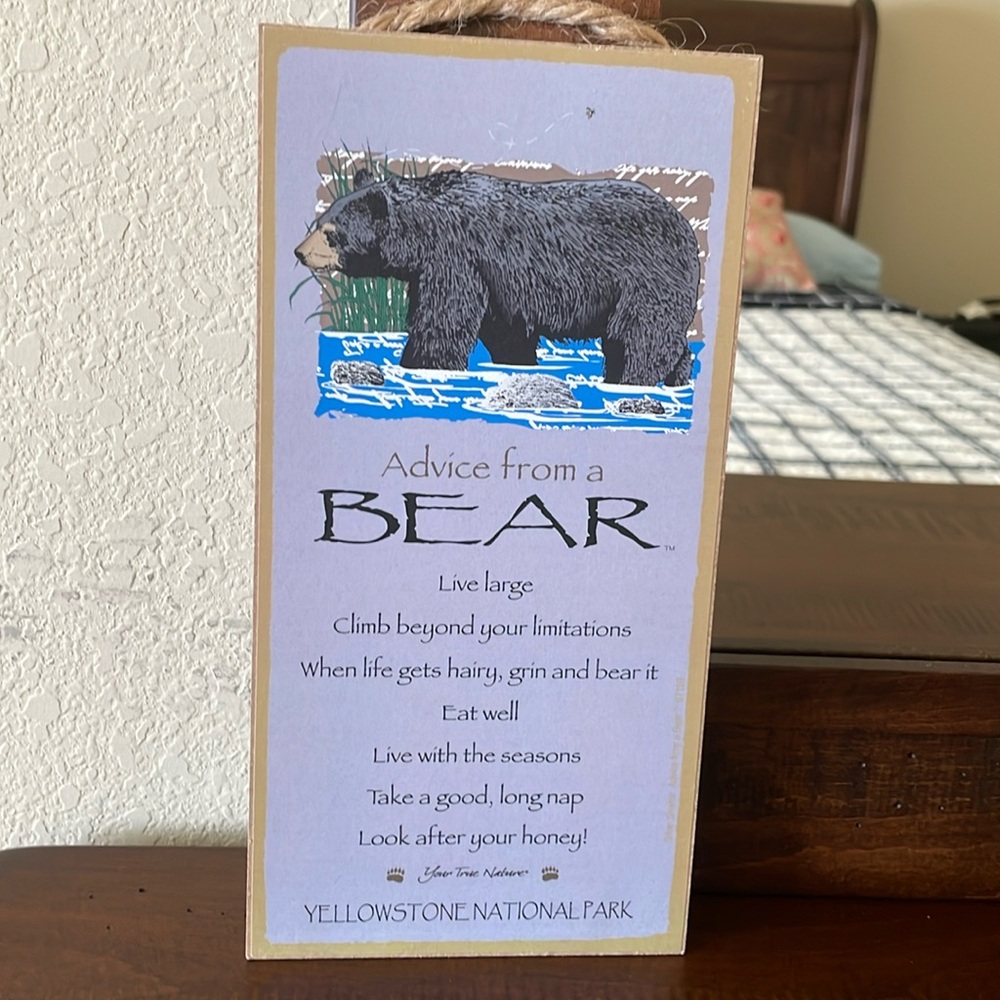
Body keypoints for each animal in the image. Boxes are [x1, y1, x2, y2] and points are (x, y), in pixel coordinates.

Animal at [294, 168, 701, 386]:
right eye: (319, 222)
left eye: (332, 232)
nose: (299, 252)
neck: (424, 231)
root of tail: (686, 228)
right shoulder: (496, 283)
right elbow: (505, 331)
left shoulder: (458, 257)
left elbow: (442, 321)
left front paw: (418, 364)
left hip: (646, 279)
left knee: (641, 335)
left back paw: (634, 379)